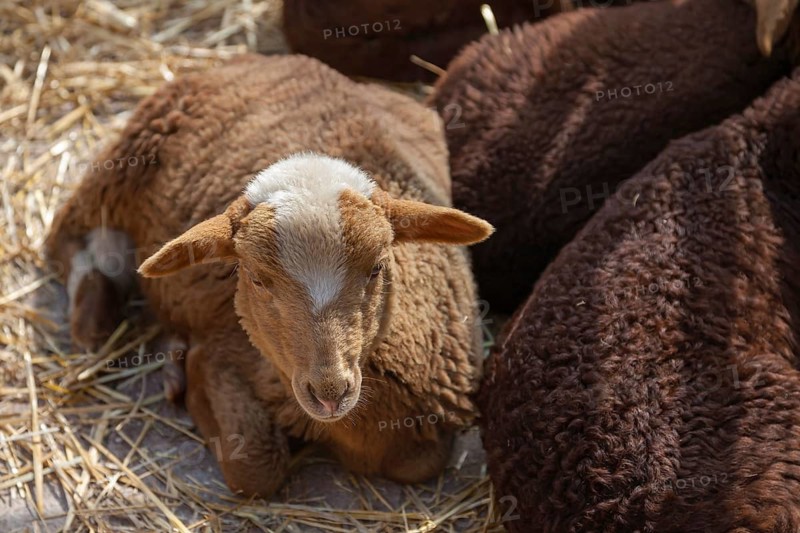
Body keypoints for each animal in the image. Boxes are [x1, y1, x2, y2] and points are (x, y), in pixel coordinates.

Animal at [44, 53, 494, 497]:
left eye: (377, 268)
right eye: (257, 279)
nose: (329, 393)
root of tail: (267, 60)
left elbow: (419, 462)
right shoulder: (230, 346)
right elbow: (255, 468)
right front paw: (189, 377)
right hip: (125, 160)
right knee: (65, 238)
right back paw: (95, 318)